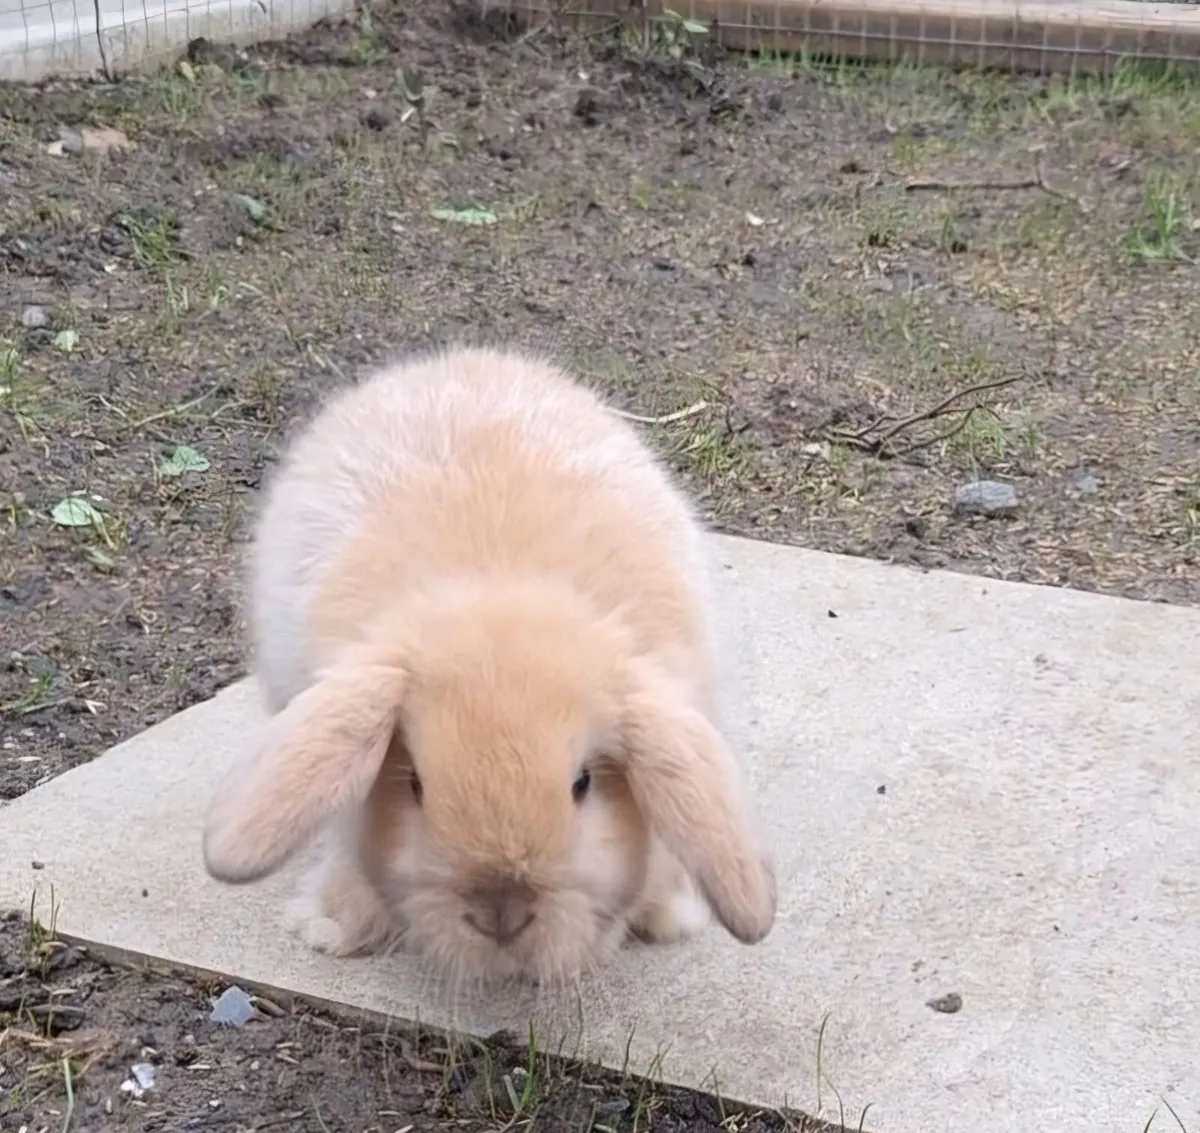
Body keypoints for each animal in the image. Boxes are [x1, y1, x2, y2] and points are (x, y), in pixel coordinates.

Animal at [201, 345, 777, 988]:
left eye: (583, 784)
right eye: (415, 784)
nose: (501, 912)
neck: (504, 596)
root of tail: (457, 360)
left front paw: (672, 918)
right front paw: (327, 928)